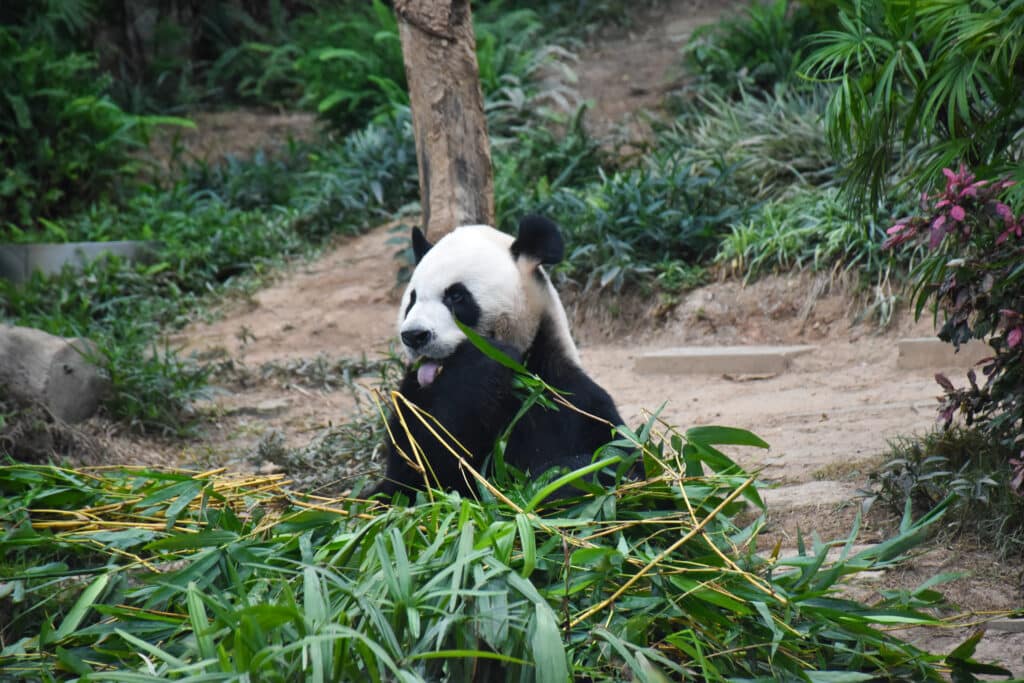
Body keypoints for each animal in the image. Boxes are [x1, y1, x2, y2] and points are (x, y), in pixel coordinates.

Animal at [365, 215, 625, 500]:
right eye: (412, 299)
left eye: (456, 295)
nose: (414, 335)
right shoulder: (412, 398)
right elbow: (419, 470)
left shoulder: (567, 399)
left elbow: (613, 459)